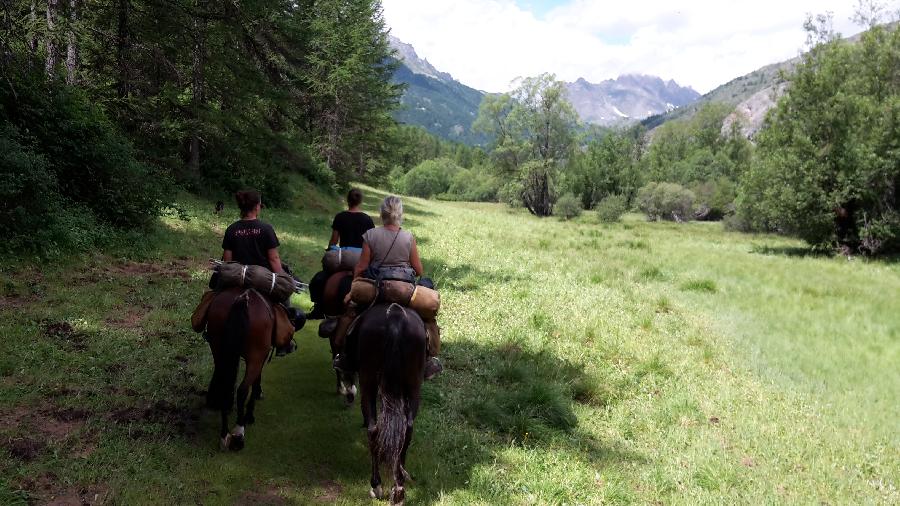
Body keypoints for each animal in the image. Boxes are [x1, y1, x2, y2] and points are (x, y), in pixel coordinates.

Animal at [206, 286, 272, 448]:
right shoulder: (261, 357)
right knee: (242, 389)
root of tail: (242, 299)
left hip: (219, 350)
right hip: (255, 357)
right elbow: (255, 382)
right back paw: (239, 431)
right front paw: (250, 415)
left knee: (225, 386)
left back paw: (224, 435)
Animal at [356, 302, 426, 504]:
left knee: (373, 429)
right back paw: (399, 486)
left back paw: (376, 485)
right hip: (414, 385)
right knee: (408, 428)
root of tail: (395, 315)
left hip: (368, 381)